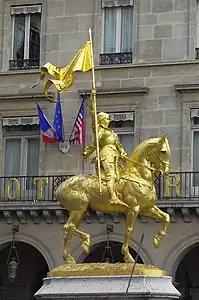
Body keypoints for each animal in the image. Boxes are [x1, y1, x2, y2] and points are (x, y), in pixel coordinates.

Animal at [56, 134, 171, 262]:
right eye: (163, 151)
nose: (167, 170)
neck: (139, 176)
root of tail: (60, 187)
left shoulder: (147, 208)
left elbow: (166, 217)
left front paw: (157, 240)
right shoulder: (134, 209)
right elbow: (129, 230)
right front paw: (127, 256)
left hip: (82, 211)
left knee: (69, 230)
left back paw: (70, 258)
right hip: (78, 209)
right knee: (68, 227)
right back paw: (85, 242)